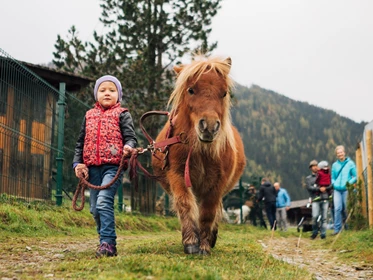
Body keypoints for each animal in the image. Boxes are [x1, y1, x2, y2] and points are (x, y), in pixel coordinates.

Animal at [150, 55, 246, 255]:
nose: (209, 127)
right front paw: (191, 242)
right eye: (191, 90)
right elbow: (185, 204)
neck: (200, 150)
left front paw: (204, 245)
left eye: (224, 93)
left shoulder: (217, 183)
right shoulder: (177, 175)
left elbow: (209, 211)